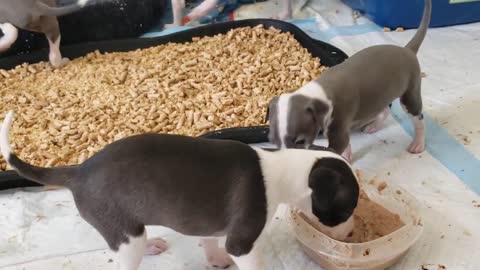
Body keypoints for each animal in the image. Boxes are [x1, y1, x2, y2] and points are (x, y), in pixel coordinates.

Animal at [0, 110, 360, 270]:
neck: (281, 169)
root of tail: (78, 171)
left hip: (126, 232)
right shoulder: (243, 242)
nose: (351, 235)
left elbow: (209, 240)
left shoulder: (209, 223)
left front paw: (215, 259)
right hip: (123, 232)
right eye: (347, 209)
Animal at [266, 0, 432, 161]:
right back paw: (374, 126)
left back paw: (418, 143)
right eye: (272, 140)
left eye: (300, 141)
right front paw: (347, 156)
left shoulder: (339, 124)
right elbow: (346, 143)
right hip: (380, 95)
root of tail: (407, 49)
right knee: (384, 109)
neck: (316, 92)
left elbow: (339, 147)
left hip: (410, 92)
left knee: (419, 118)